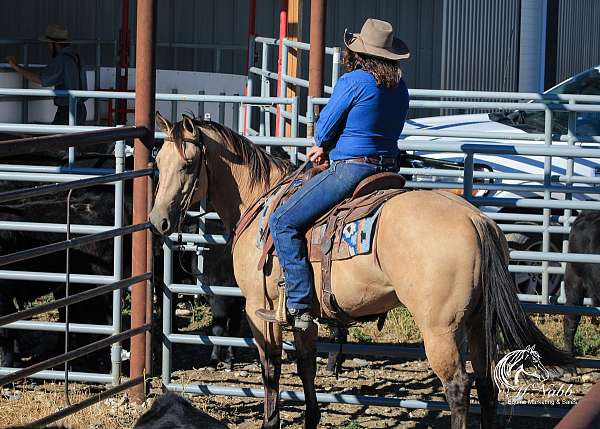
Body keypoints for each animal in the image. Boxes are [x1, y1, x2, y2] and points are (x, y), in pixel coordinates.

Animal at [148, 113, 568, 428]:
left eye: (188, 164)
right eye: (158, 162)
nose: (158, 222)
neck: (261, 202)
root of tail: (475, 219)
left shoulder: (258, 309)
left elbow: (271, 369)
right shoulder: (303, 315)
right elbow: (305, 367)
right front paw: (312, 419)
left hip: (440, 329)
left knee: (458, 387)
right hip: (479, 320)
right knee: (486, 384)